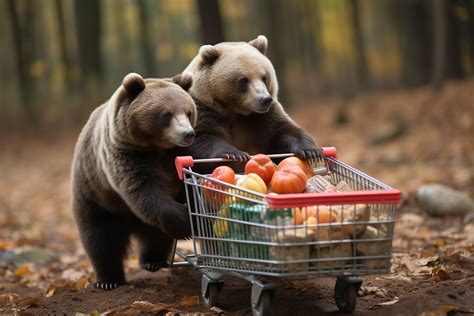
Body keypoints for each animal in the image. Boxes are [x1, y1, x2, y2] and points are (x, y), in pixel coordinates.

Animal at [71, 73, 196, 290]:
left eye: (188, 112)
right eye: (167, 114)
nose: (188, 134)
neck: (157, 148)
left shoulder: (178, 156)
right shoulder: (126, 155)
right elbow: (144, 191)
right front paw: (186, 222)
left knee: (156, 235)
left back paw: (153, 260)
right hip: (95, 197)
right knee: (100, 239)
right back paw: (108, 280)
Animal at [181, 34, 322, 164]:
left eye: (264, 77)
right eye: (243, 80)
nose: (265, 99)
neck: (234, 110)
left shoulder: (261, 117)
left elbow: (283, 130)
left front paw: (311, 151)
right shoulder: (203, 108)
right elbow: (203, 136)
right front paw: (235, 154)